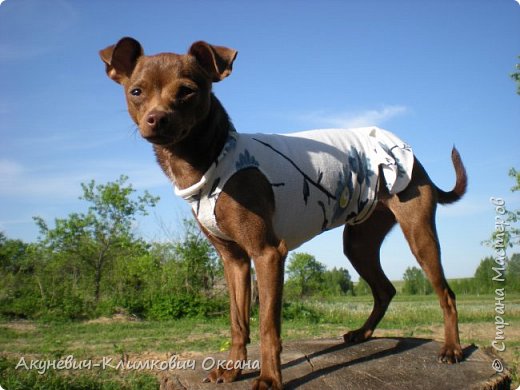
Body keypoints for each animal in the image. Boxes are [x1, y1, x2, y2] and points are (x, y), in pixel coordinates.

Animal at [98, 37, 468, 390]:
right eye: (136, 92)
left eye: (187, 91)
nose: (156, 119)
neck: (213, 158)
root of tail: (410, 153)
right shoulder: (234, 260)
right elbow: (237, 321)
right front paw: (232, 370)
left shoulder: (267, 254)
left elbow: (267, 327)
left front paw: (269, 379)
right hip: (359, 242)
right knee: (385, 290)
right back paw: (362, 334)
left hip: (418, 234)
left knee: (446, 295)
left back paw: (451, 349)